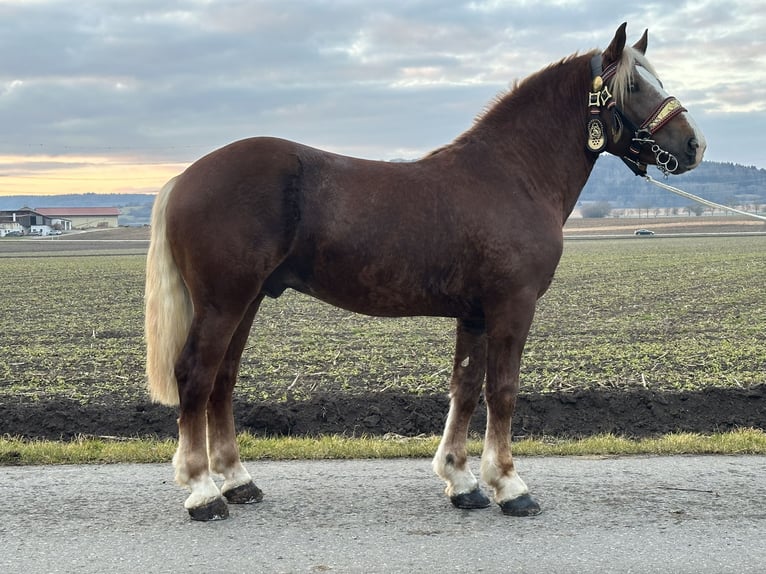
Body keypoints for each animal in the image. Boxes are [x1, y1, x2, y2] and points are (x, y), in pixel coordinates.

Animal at [144, 23, 708, 520]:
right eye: (634, 85)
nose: (693, 145)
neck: (512, 175)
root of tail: (184, 177)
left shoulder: (475, 314)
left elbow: (466, 387)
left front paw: (462, 481)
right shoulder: (512, 306)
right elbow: (501, 391)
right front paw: (509, 486)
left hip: (247, 300)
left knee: (222, 380)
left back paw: (237, 482)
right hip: (224, 302)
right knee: (195, 375)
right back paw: (203, 492)